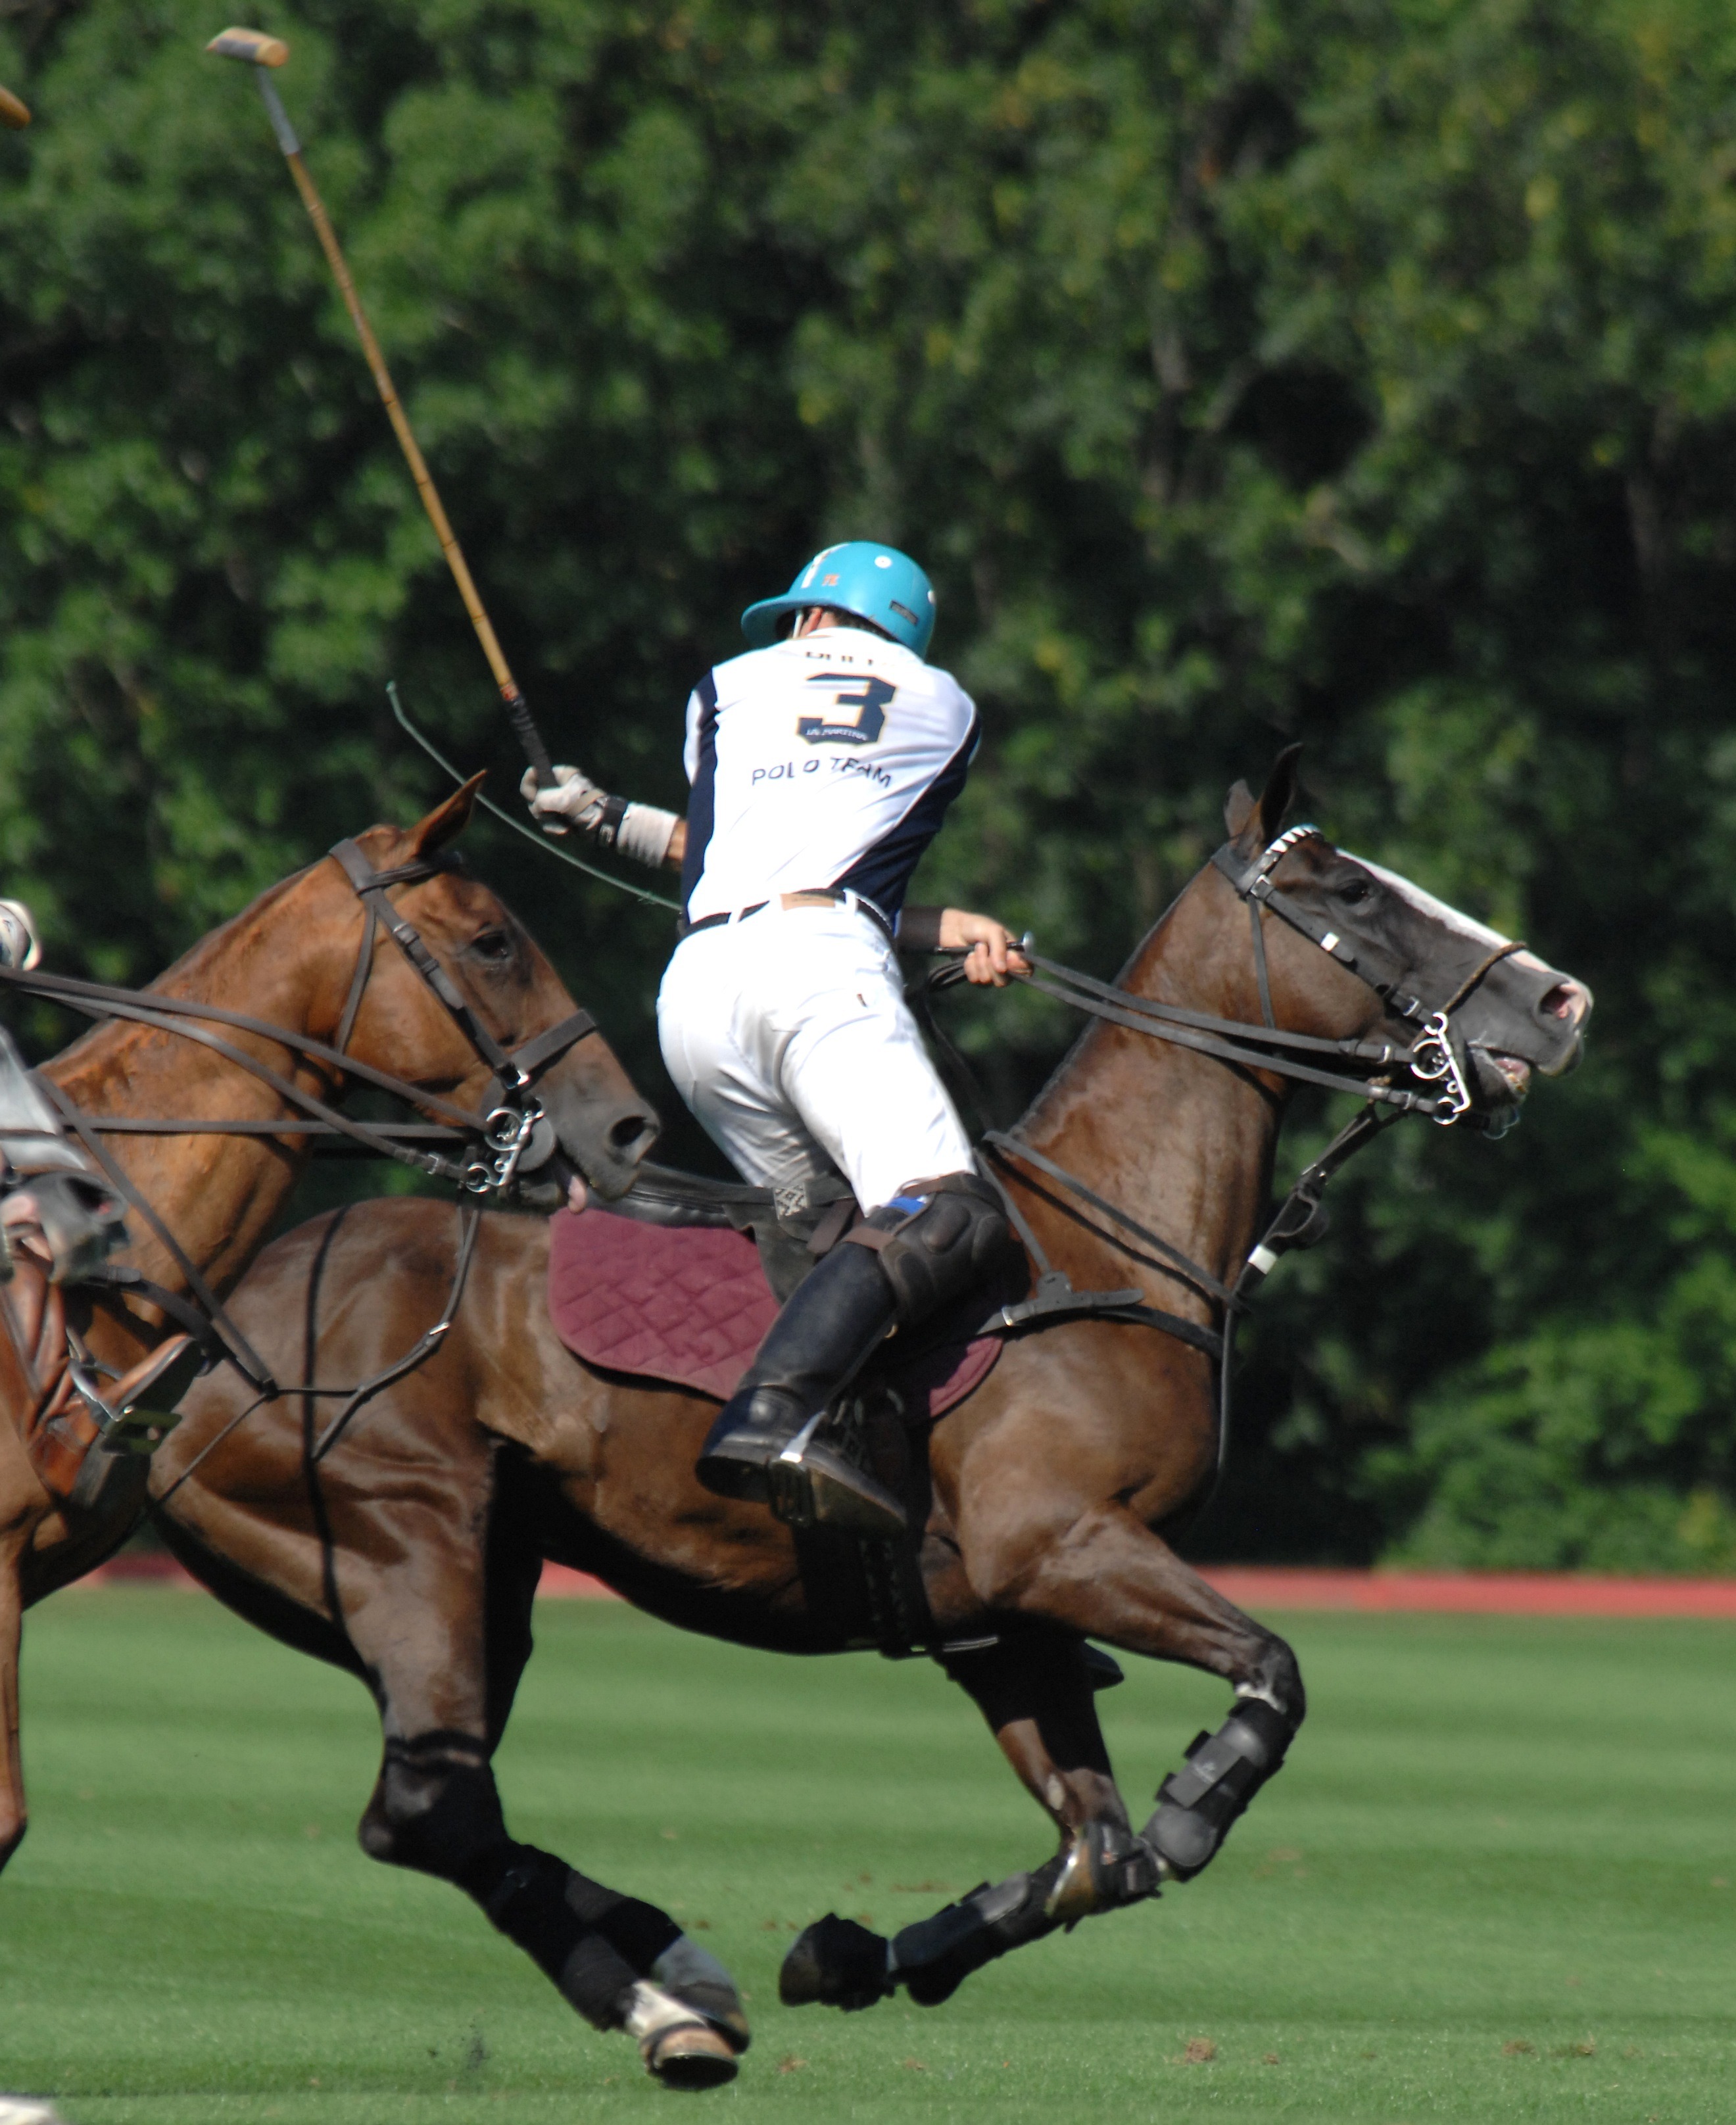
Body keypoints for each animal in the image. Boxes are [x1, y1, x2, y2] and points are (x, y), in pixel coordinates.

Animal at [149, 756, 1581, 2082]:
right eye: (1350, 890)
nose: (1562, 999)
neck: (1105, 1236)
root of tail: (204, 1329)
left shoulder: (1006, 1623)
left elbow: (1095, 1853)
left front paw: (857, 1953)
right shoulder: (1058, 1547)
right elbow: (1266, 1680)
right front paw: (1196, 1800)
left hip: (482, 1575)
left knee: (431, 1809)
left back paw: (679, 1969)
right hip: (406, 1540)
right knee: (429, 1803)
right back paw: (667, 1997)